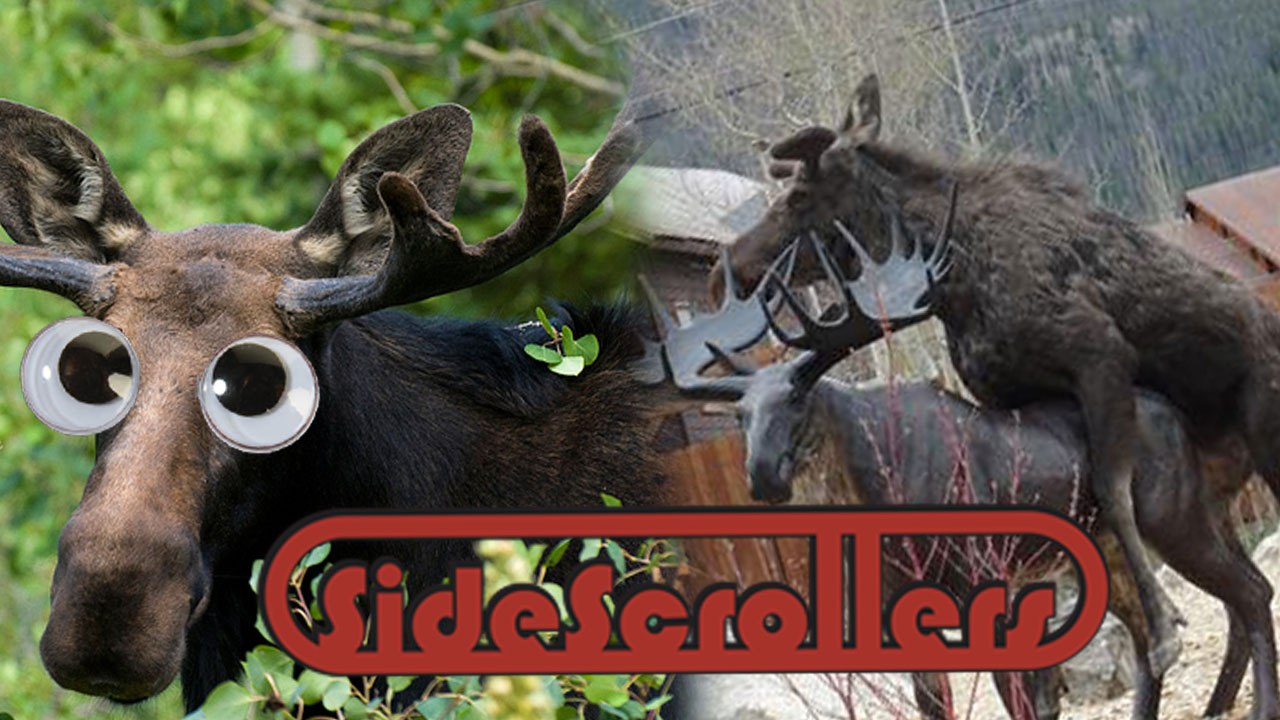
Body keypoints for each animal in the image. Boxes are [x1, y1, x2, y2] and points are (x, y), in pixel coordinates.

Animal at [655, 223, 1278, 720]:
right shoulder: (895, 616)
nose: (763, 475)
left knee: (1251, 592)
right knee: (1154, 638)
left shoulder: (987, 583)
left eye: (798, 399)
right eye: (740, 414)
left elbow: (1027, 704)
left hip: (1172, 514)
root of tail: (1176, 416)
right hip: (1108, 549)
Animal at [707, 73, 1280, 698]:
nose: (722, 273)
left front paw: (1163, 627)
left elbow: (1111, 487)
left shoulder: (1099, 352)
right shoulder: (1007, 395)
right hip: (1215, 488)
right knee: (1242, 592)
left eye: (797, 198)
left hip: (1265, 443)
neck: (953, 282)